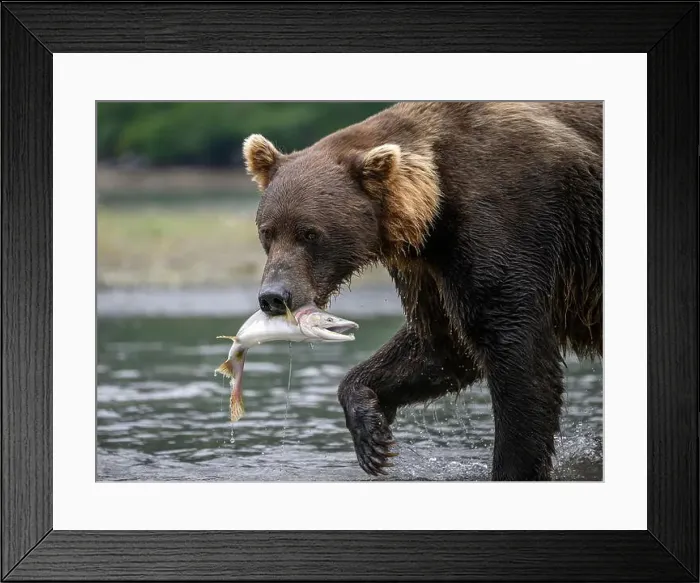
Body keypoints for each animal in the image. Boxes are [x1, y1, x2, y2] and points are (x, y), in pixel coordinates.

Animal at [242, 101, 602, 481]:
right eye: (267, 231)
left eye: (310, 233)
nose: (274, 296)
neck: (433, 207)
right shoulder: (428, 267)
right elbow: (441, 344)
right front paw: (373, 438)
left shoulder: (510, 218)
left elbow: (516, 350)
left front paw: (513, 465)